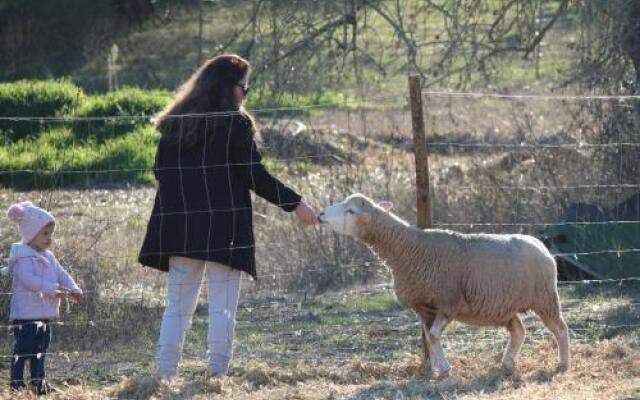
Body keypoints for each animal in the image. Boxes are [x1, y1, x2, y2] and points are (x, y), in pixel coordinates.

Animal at [318, 195, 572, 376]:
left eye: (350, 211)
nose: (320, 214)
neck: (409, 249)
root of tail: (540, 244)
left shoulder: (448, 303)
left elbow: (433, 336)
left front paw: (445, 369)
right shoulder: (423, 308)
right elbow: (429, 339)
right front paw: (436, 369)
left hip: (545, 297)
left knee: (560, 328)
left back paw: (562, 364)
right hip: (504, 306)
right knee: (519, 331)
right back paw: (508, 364)